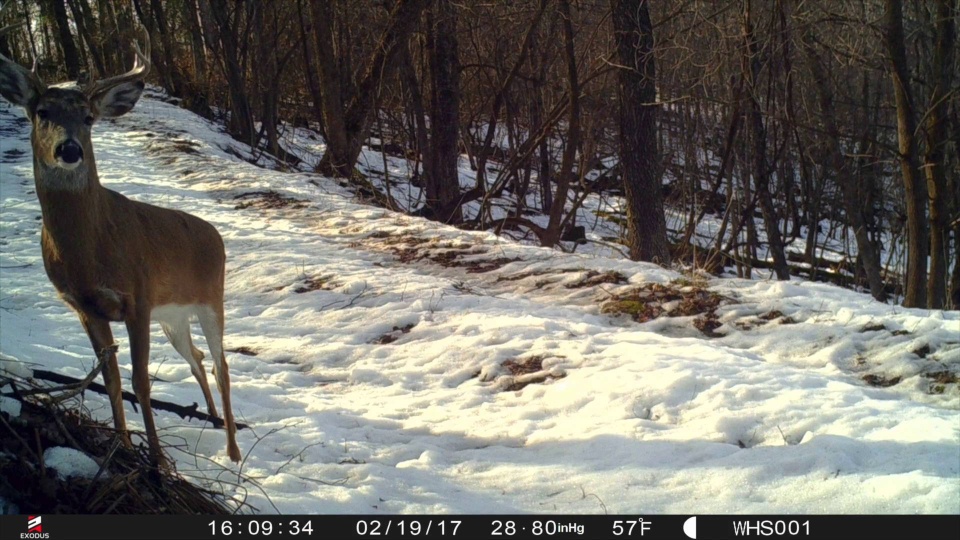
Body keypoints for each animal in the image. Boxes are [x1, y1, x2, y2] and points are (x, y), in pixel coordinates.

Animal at [0, 21, 240, 466]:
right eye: (42, 112)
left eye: (89, 117)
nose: (69, 148)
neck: (88, 252)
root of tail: (216, 234)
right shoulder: (84, 307)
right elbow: (111, 382)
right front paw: (123, 446)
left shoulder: (137, 297)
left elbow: (141, 382)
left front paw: (157, 459)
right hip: (173, 317)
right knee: (198, 358)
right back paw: (214, 420)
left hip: (210, 300)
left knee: (222, 365)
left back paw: (233, 451)